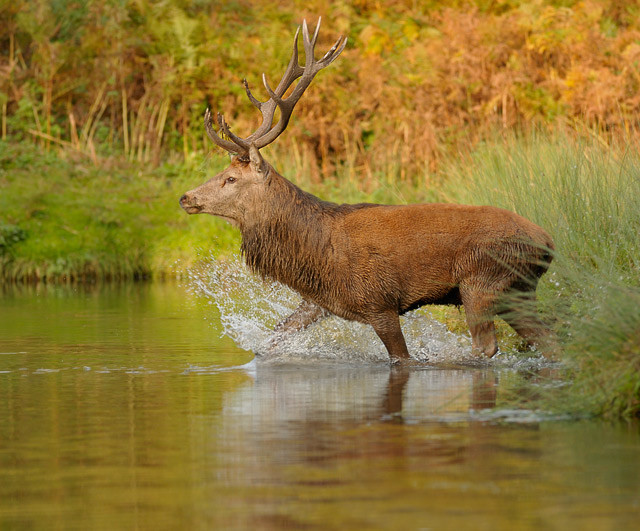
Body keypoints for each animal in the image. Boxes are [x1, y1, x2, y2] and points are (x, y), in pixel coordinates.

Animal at [181, 18, 556, 364]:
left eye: (231, 179)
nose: (186, 197)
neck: (315, 253)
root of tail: (548, 243)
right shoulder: (319, 302)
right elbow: (274, 337)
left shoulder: (378, 302)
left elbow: (401, 358)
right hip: (517, 291)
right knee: (547, 339)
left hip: (482, 280)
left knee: (486, 346)